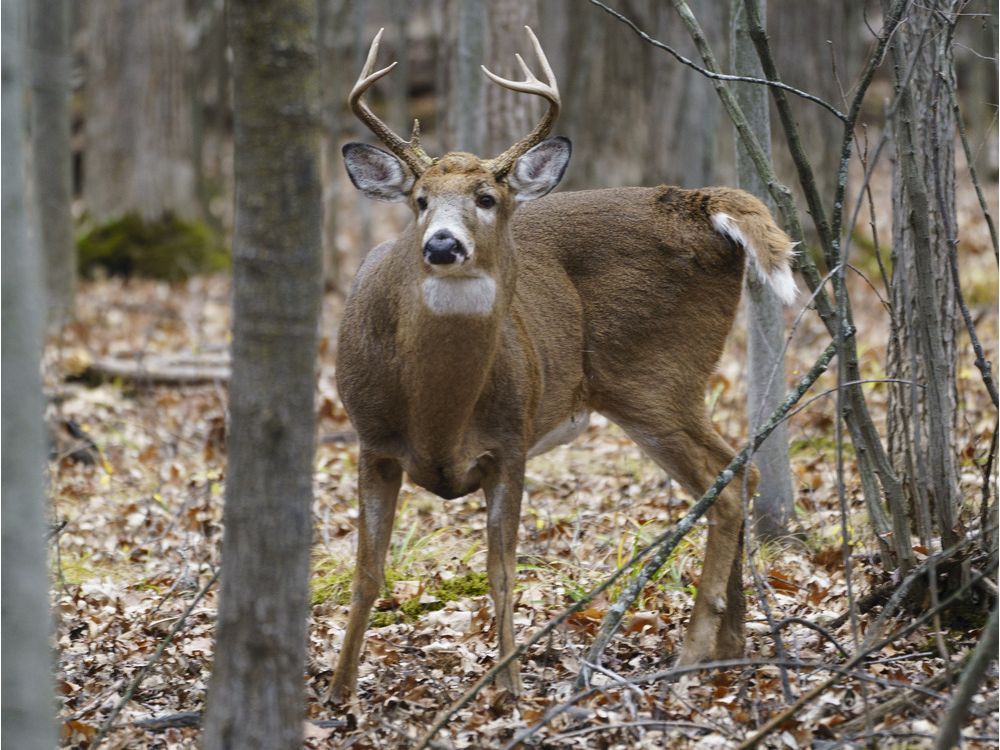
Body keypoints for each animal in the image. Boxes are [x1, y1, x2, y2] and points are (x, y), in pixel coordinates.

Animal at [330, 26, 796, 704]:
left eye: (487, 198)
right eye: (419, 200)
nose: (442, 244)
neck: (435, 412)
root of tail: (698, 202)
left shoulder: (510, 438)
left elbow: (500, 572)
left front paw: (509, 687)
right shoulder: (371, 439)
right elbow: (367, 571)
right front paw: (338, 693)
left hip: (656, 378)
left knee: (728, 482)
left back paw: (694, 652)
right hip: (654, 391)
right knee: (739, 472)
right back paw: (729, 644)